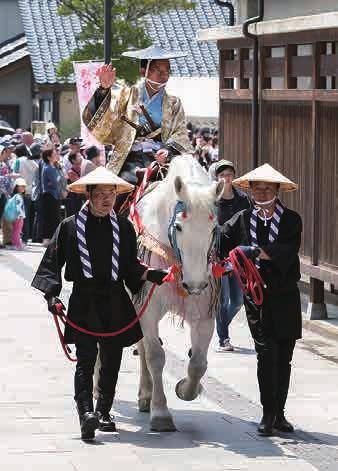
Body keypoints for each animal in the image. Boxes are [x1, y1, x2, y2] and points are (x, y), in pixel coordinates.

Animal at [135, 155, 224, 432]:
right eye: (179, 226)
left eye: (213, 229)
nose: (193, 284)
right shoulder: (148, 307)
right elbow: (155, 356)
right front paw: (161, 413)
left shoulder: (204, 312)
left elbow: (198, 363)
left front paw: (186, 389)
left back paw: (145, 395)